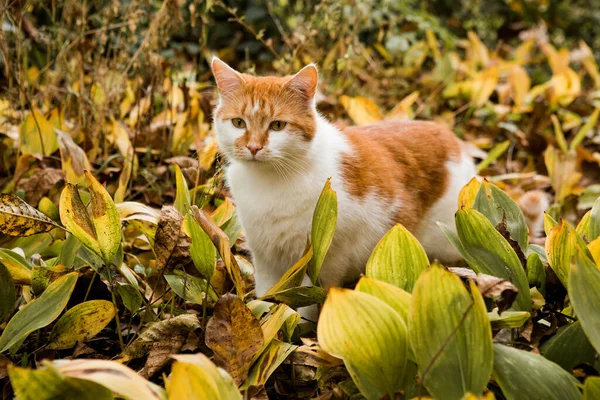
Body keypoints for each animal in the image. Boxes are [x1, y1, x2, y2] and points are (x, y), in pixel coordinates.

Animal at [211, 57, 478, 298]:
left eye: (277, 126)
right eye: (238, 123)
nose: (254, 147)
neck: (268, 181)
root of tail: (454, 141)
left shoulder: (323, 260)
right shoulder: (266, 258)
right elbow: (267, 298)